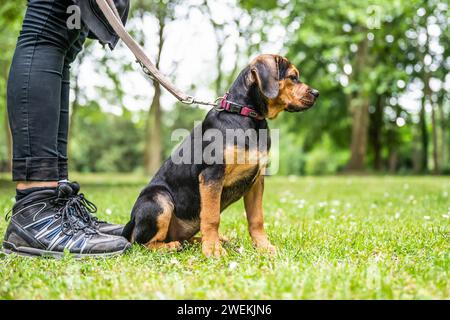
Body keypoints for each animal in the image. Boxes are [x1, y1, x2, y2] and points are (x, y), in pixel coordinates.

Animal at [123, 53, 320, 256]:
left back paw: (206, 242)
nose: (317, 93)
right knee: (141, 243)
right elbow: (211, 217)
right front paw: (213, 250)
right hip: (159, 200)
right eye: (293, 77)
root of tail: (130, 224)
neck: (245, 115)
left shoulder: (257, 181)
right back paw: (173, 246)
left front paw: (265, 247)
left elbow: (256, 218)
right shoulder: (212, 175)